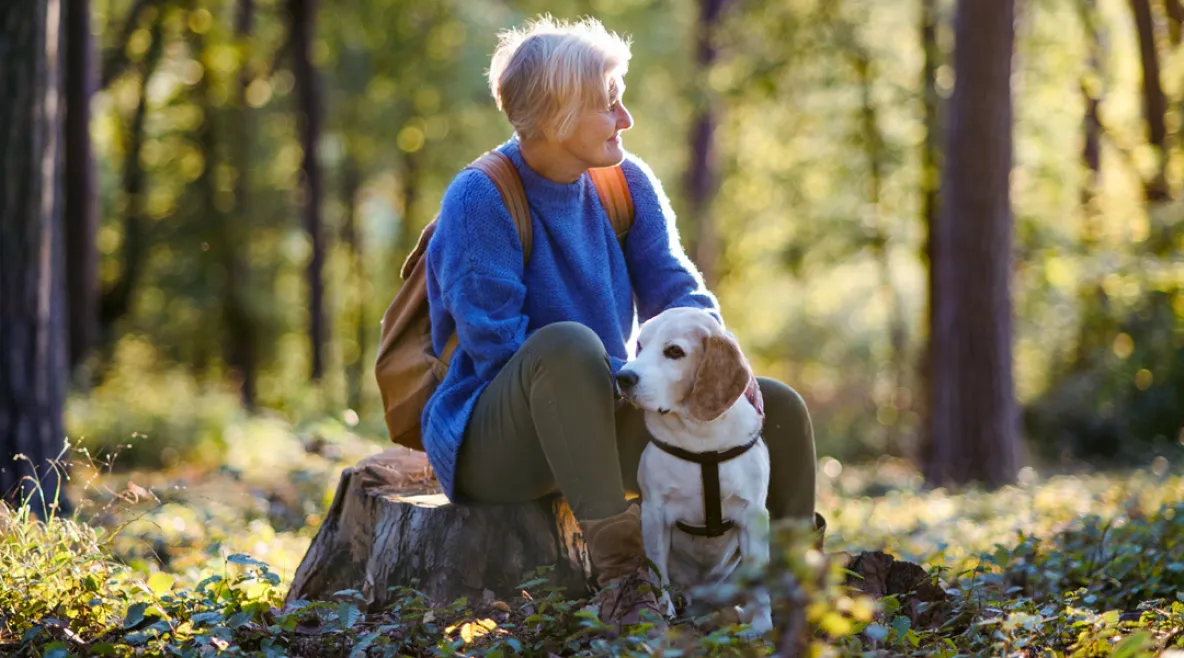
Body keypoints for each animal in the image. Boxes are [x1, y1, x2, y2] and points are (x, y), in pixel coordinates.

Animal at [615, 307, 771, 634]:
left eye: (674, 352)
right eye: (640, 346)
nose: (623, 377)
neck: (702, 440)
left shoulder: (753, 515)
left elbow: (760, 583)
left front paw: (763, 626)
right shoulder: (655, 514)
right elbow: (658, 574)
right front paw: (663, 612)